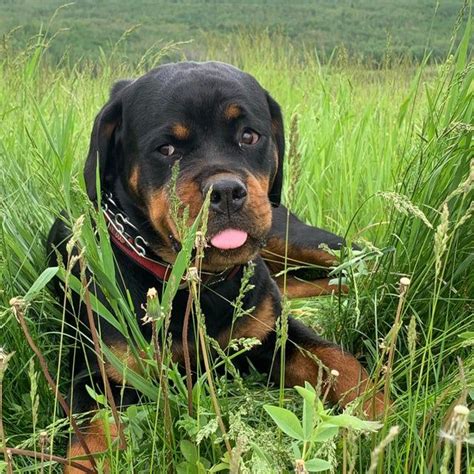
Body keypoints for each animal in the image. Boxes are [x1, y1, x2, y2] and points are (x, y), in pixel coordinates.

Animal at [46, 61, 384, 472]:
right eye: (166, 148)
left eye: (249, 136)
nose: (224, 191)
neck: (196, 282)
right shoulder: (98, 373)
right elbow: (89, 443)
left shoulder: (274, 333)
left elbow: (341, 361)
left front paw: (384, 416)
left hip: (291, 236)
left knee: (360, 261)